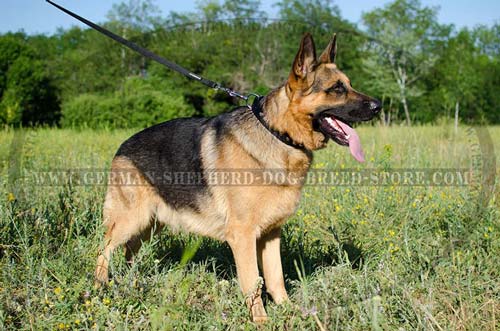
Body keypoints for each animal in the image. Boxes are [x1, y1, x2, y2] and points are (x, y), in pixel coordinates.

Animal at [95, 33, 380, 324]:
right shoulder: (242, 235)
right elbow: (253, 281)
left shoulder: (271, 234)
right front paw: (262, 321)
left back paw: (132, 282)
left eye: (349, 85)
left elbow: (275, 278)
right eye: (336, 89)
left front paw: (288, 311)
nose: (378, 106)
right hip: (130, 220)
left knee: (130, 251)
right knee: (103, 250)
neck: (278, 133)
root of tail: (123, 145)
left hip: (151, 223)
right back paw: (99, 288)